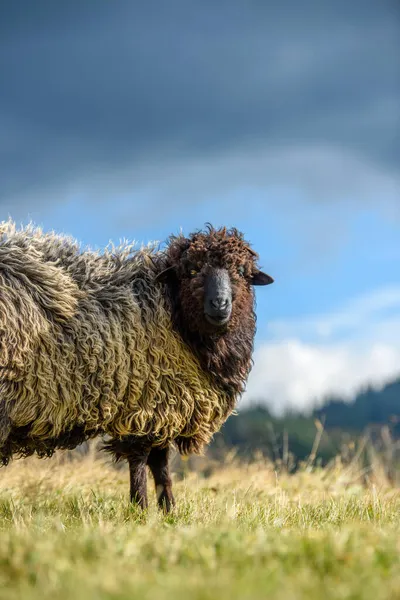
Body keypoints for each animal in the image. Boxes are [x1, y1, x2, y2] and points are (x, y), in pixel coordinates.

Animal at [0, 220, 272, 510]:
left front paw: (168, 509)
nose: (220, 304)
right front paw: (140, 507)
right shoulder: (144, 404)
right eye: (192, 270)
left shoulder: (164, 405)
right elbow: (142, 460)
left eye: (241, 272)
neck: (171, 311)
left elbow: (161, 465)